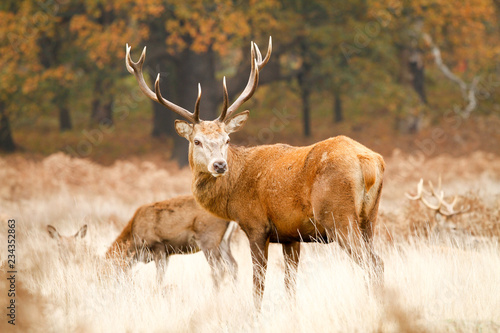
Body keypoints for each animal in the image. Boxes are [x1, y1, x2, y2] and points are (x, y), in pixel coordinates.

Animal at [106, 196, 238, 286]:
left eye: (107, 269)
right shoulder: (167, 253)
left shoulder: (158, 246)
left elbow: (159, 277)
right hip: (224, 242)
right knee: (233, 265)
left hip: (208, 240)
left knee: (219, 269)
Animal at [127, 37, 384, 306]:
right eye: (197, 141)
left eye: (227, 139)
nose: (219, 165)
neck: (234, 193)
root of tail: (367, 161)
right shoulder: (290, 235)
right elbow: (289, 284)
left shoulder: (256, 226)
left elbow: (258, 284)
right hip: (370, 218)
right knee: (376, 260)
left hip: (338, 215)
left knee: (372, 262)